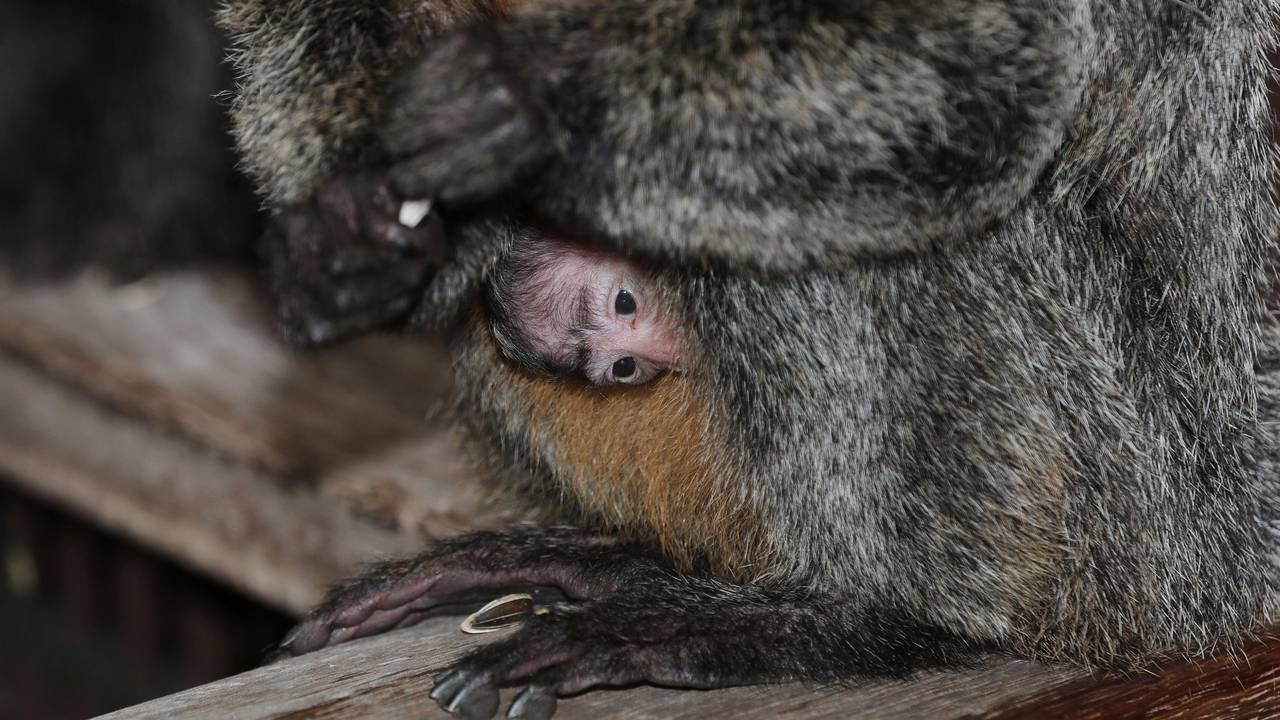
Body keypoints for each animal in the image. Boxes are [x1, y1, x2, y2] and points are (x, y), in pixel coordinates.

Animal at [219, 2, 1280, 719]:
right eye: (613, 345)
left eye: (626, 308)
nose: (633, 357)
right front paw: (352, 234)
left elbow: (983, 66)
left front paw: (536, 101)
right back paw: (621, 558)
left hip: (1164, 510)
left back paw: (856, 620)